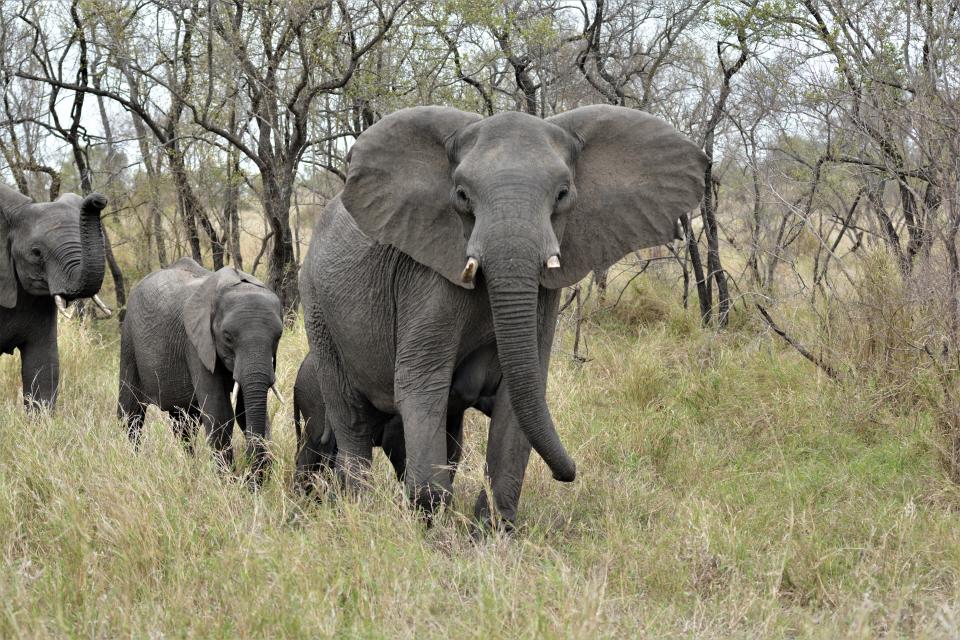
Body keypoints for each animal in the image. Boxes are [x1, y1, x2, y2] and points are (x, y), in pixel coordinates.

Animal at [117, 258, 284, 482]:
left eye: (278, 337)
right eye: (227, 337)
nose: (248, 474)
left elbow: (243, 410)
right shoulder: (196, 345)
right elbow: (220, 414)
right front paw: (228, 483)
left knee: (184, 423)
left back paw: (190, 468)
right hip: (128, 342)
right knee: (131, 415)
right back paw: (133, 463)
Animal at [300, 104, 704, 524]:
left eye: (562, 194)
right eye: (462, 195)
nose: (568, 473)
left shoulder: (544, 293)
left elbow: (520, 396)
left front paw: (489, 528)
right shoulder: (425, 279)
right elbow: (420, 382)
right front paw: (431, 526)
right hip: (317, 306)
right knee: (353, 421)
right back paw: (356, 511)